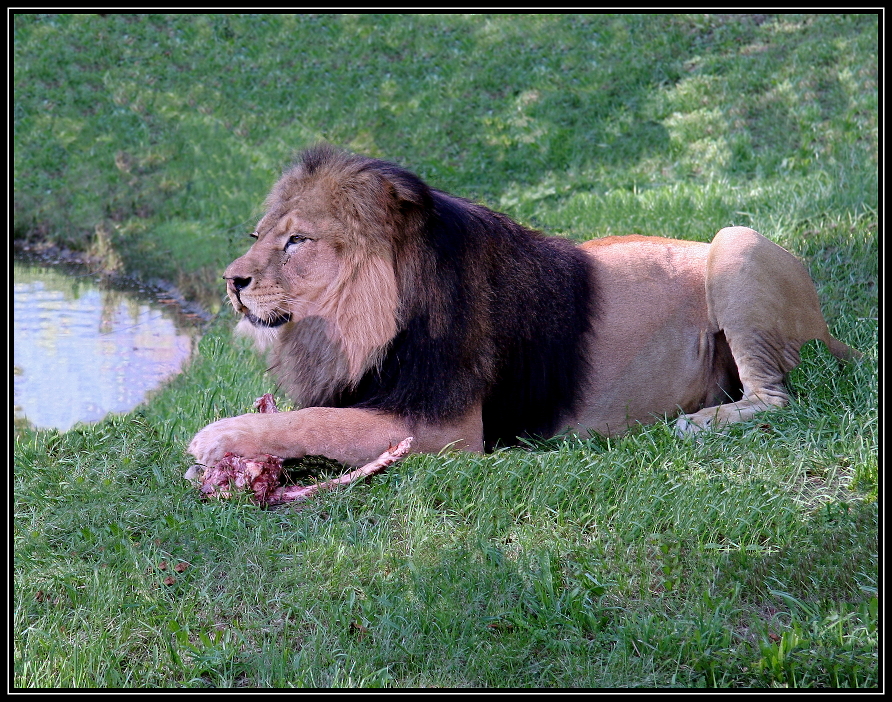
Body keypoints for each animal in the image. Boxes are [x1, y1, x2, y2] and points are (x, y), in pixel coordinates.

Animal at [186, 145, 856, 470]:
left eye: (297, 240)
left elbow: (316, 420)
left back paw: (701, 421)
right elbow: (318, 417)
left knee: (776, 397)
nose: (231, 281)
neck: (354, 325)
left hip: (735, 243)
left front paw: (217, 439)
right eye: (258, 236)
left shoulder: (446, 427)